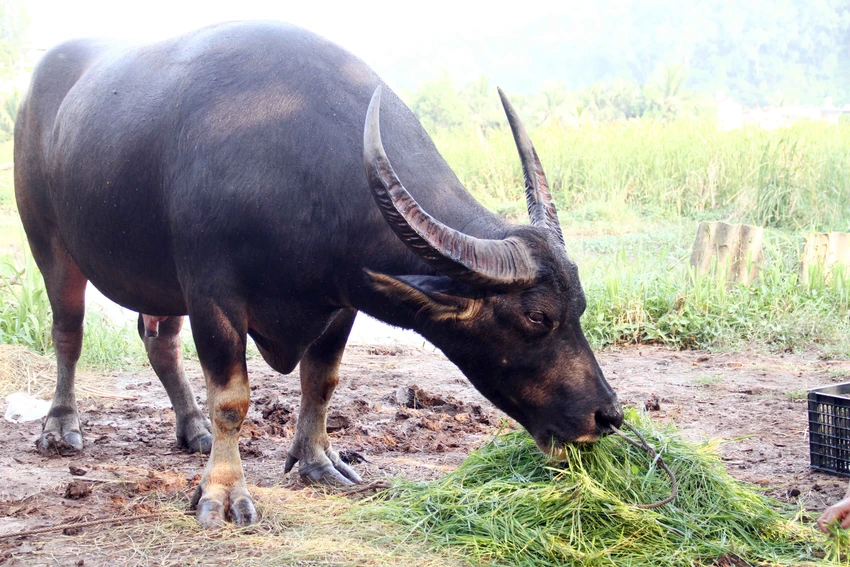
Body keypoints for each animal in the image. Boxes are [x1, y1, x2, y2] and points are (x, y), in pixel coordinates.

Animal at [14, 21, 624, 528]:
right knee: (68, 331)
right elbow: (232, 399)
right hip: (49, 241)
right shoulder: (213, 295)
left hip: (159, 282)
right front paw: (223, 493)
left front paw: (316, 462)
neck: (288, 154)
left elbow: (321, 381)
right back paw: (61, 425)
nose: (607, 415)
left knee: (158, 341)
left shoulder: (341, 299)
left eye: (581, 306)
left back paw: (192, 428)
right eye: (537, 317)